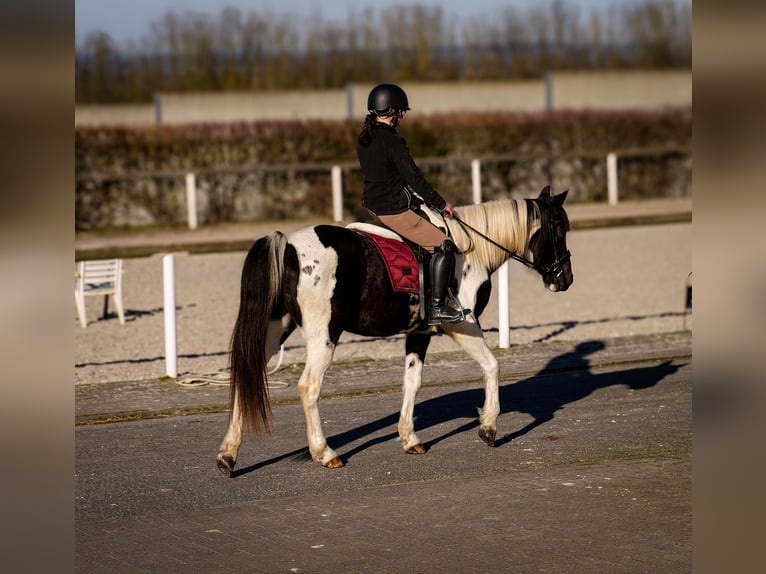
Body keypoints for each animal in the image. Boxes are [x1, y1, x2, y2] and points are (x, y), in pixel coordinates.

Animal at [213, 186, 572, 476]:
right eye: (559, 227)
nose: (565, 278)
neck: (469, 251)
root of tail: (287, 245)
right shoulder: (462, 325)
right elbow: (492, 366)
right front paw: (488, 427)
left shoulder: (419, 332)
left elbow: (412, 382)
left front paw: (409, 438)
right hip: (323, 334)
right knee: (309, 387)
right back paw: (325, 453)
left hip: (275, 330)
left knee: (246, 376)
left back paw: (228, 455)